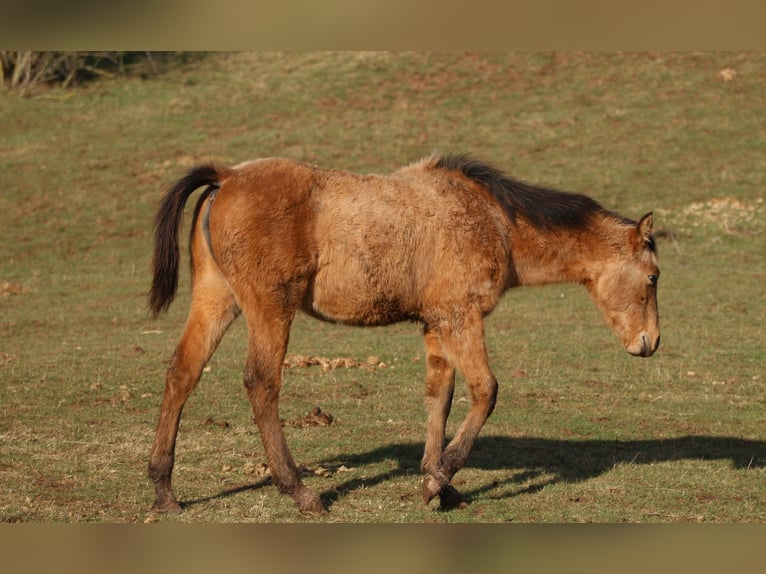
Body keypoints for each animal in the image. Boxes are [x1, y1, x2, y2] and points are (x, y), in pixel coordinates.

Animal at [148, 154, 660, 516]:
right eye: (654, 277)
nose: (650, 343)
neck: (493, 219)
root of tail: (227, 176)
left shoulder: (437, 325)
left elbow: (440, 397)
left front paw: (441, 484)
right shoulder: (461, 317)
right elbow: (485, 391)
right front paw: (438, 480)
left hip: (216, 300)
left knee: (182, 373)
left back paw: (164, 490)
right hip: (271, 308)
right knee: (261, 383)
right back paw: (300, 492)